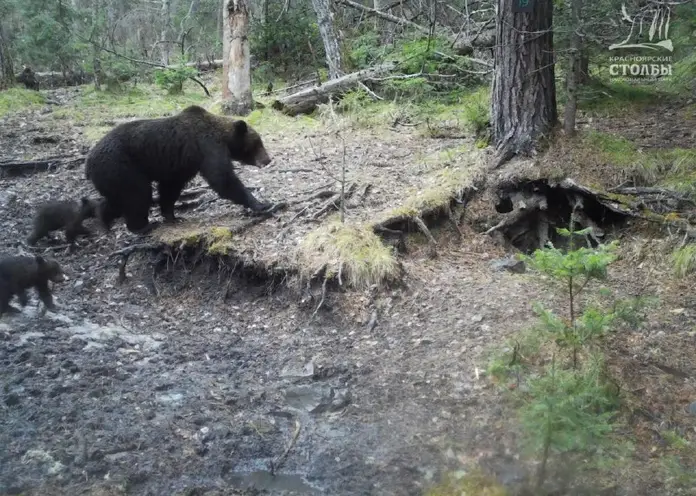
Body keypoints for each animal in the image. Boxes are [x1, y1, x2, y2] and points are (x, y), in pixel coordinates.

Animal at [84, 105, 274, 233]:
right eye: (258, 143)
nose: (267, 159)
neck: (225, 138)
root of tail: (89, 162)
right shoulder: (207, 146)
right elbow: (222, 178)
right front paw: (262, 203)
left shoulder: (180, 164)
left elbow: (171, 187)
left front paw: (173, 215)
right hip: (121, 166)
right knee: (137, 194)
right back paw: (142, 226)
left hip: (112, 175)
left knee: (117, 198)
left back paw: (103, 218)